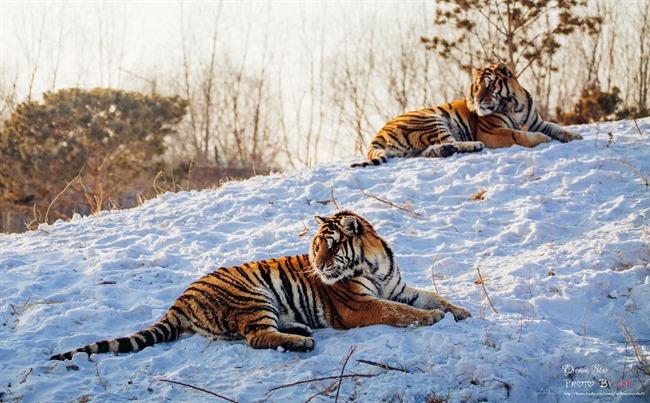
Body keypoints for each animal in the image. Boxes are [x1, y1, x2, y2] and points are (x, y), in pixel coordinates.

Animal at [50, 211, 470, 360]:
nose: (319, 266)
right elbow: (399, 312)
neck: (373, 263)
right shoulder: (362, 306)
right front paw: (430, 319)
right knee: (255, 336)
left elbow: (432, 296)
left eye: (330, 247)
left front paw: (460, 311)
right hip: (253, 296)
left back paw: (300, 330)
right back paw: (302, 342)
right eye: (315, 248)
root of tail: (180, 300)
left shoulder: (398, 286)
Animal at [351, 62, 583, 167]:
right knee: (448, 142)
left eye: (490, 86)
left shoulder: (536, 121)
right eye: (477, 87)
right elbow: (518, 135)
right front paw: (542, 139)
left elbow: (555, 127)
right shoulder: (491, 132)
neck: (514, 105)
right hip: (431, 119)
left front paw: (575, 136)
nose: (478, 100)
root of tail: (377, 135)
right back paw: (472, 146)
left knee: (431, 150)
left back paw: (447, 150)